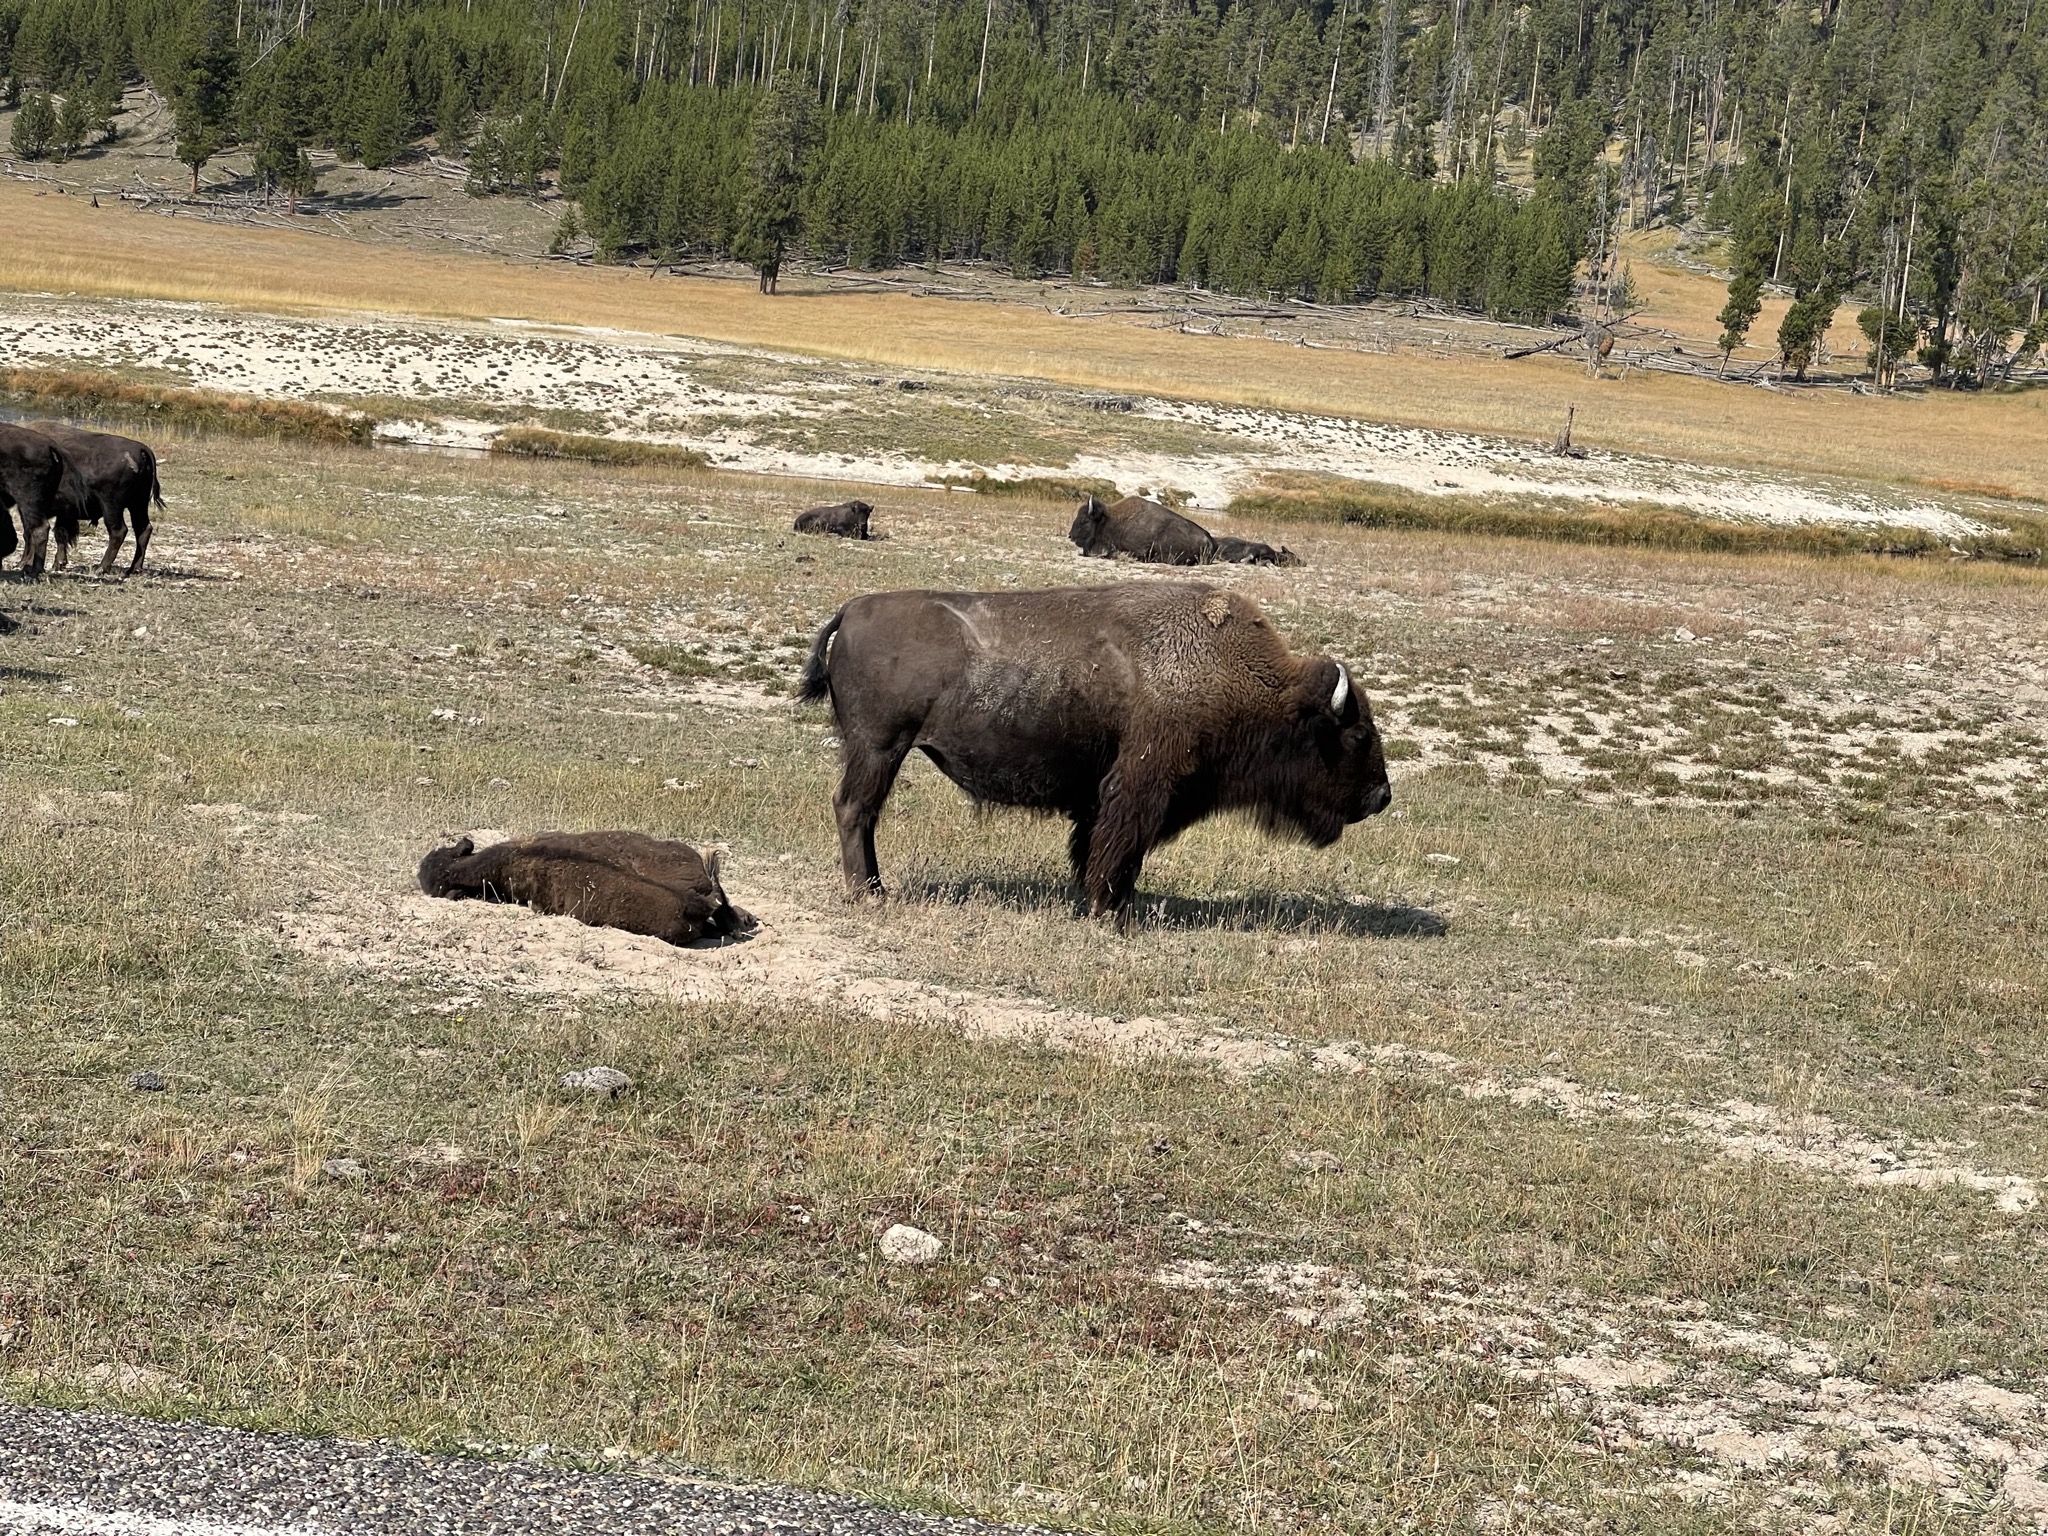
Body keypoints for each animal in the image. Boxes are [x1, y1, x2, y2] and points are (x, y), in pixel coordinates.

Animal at [30, 422, 162, 576]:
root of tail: (141, 448)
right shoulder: (63, 514)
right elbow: (60, 534)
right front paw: (59, 564)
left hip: (111, 505)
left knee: (118, 531)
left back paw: (101, 568)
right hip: (138, 504)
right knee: (143, 529)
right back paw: (133, 569)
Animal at [797, 583, 1391, 926]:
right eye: (1357, 737)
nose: (1382, 795)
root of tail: (851, 610)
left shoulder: (1105, 797)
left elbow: (1097, 847)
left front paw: (1106, 902)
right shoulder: (1142, 785)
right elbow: (1120, 846)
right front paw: (1111, 913)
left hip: (877, 750)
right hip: (879, 749)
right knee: (855, 809)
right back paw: (870, 894)